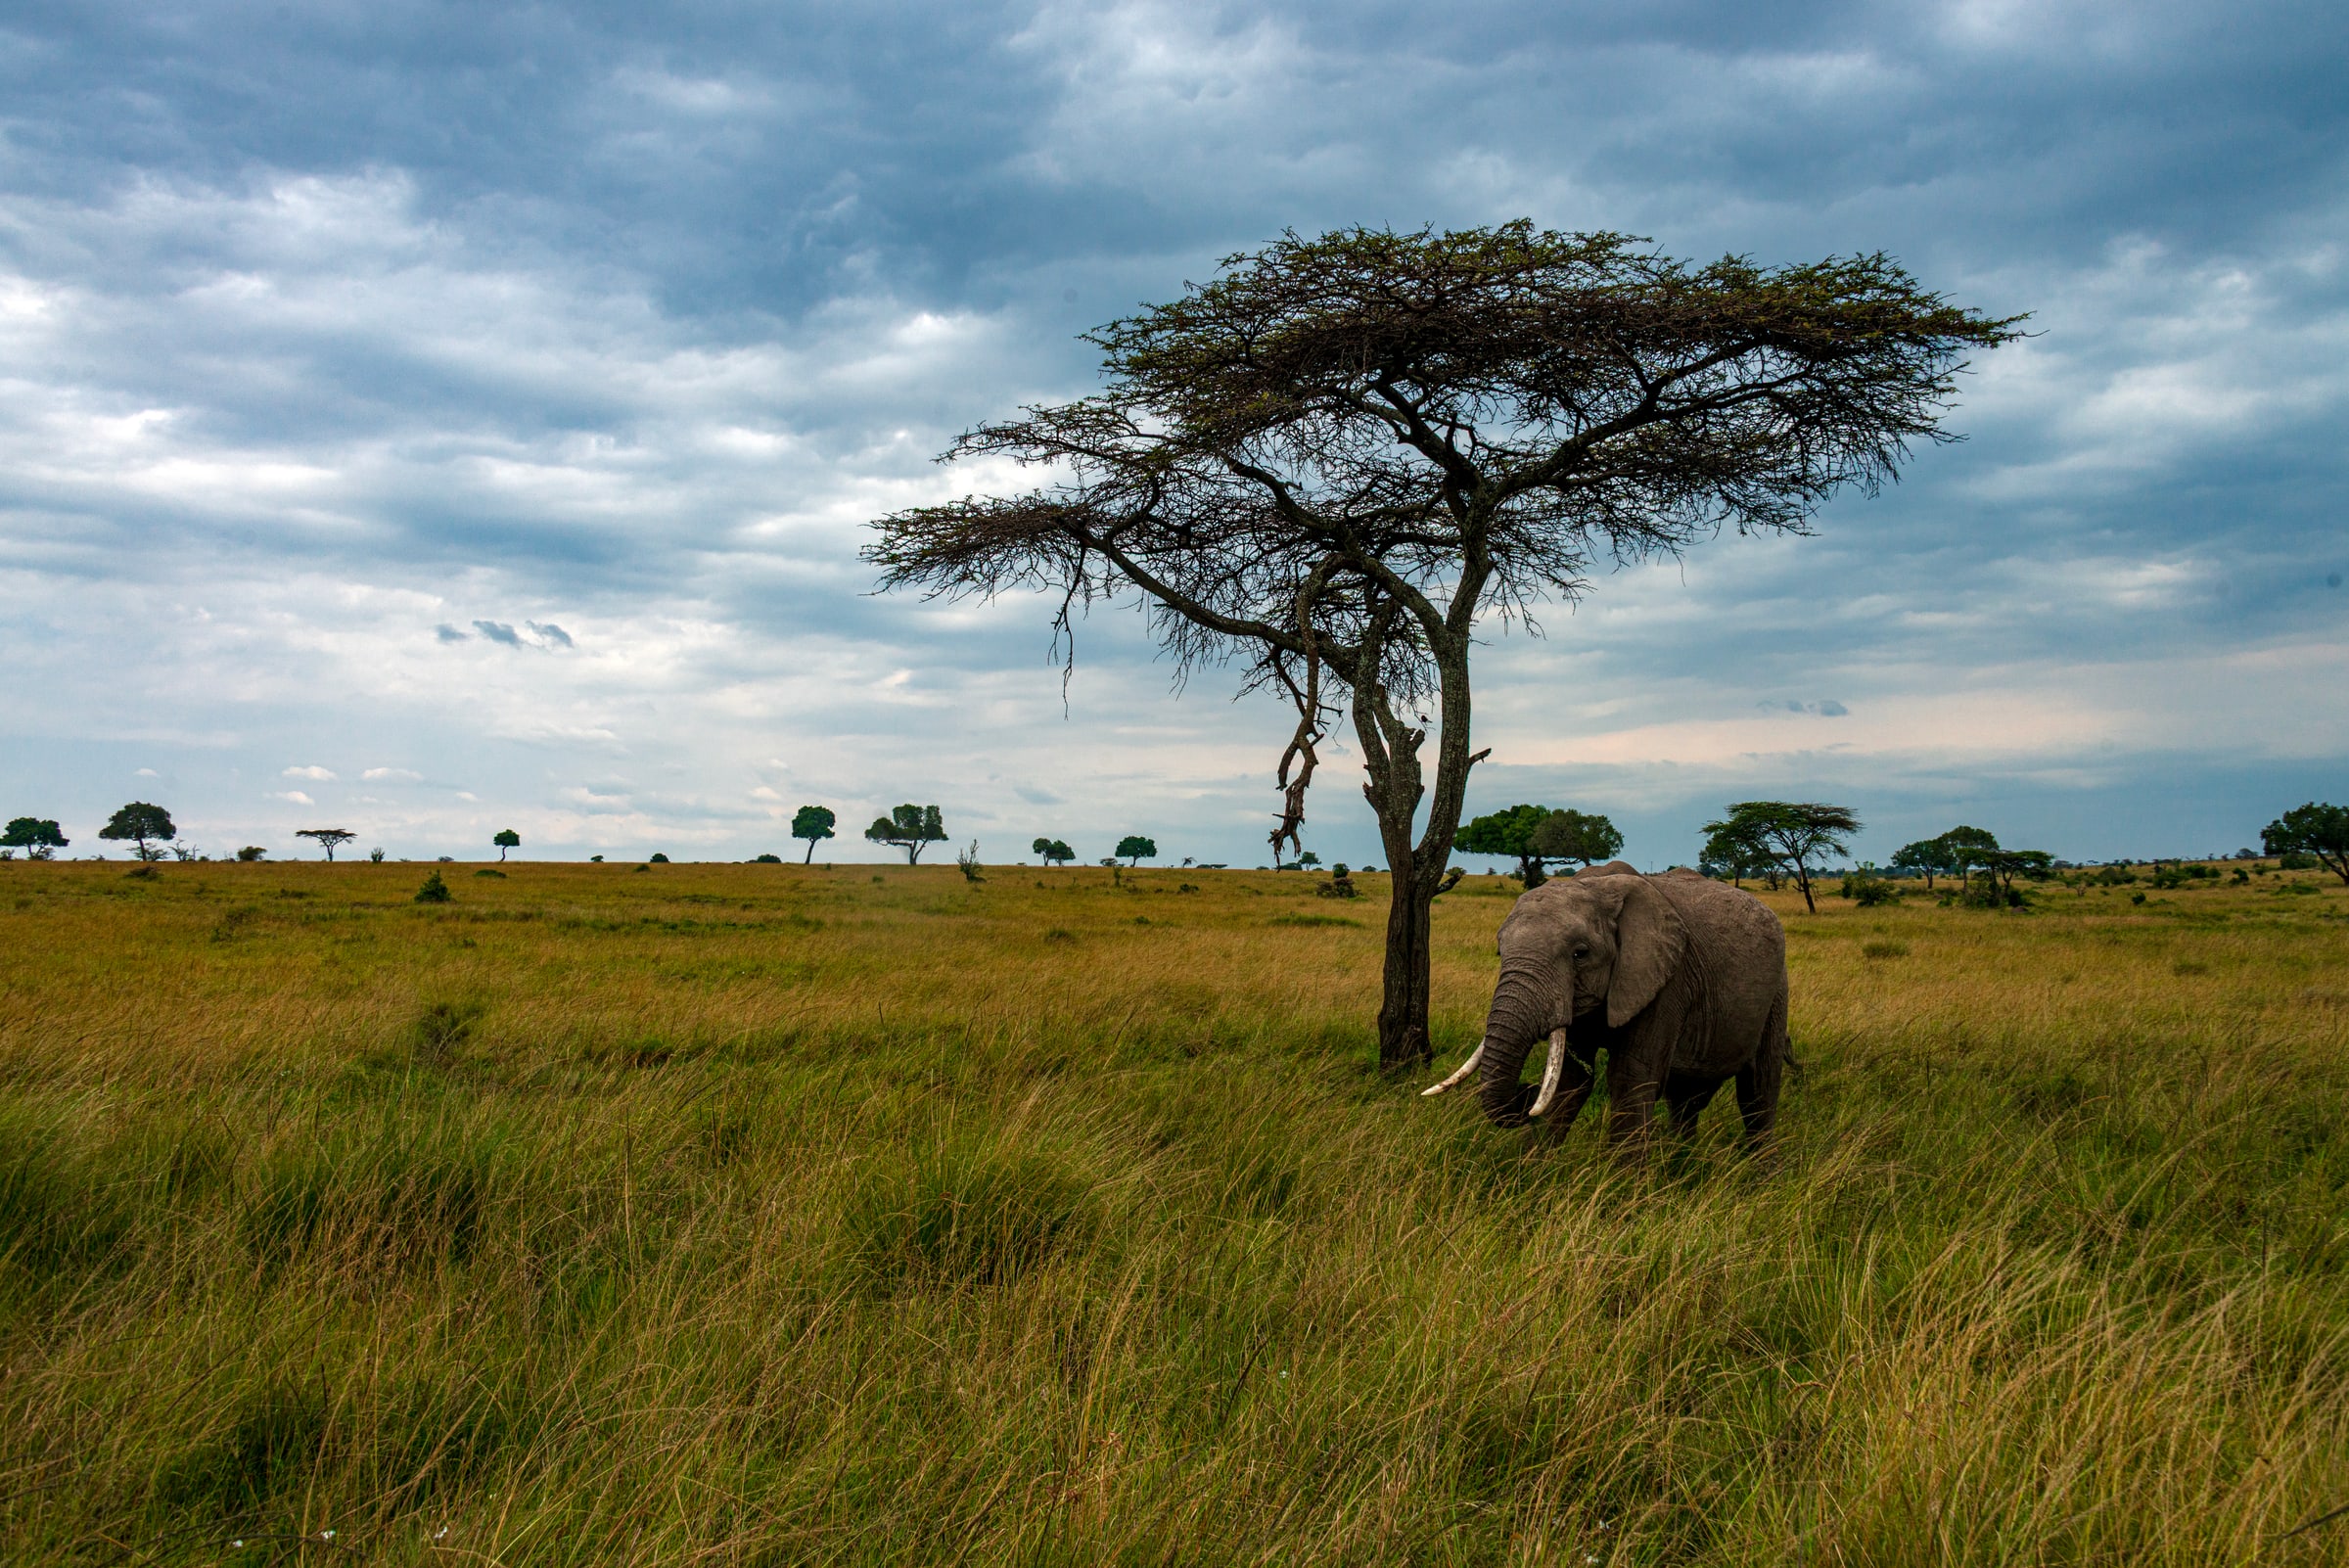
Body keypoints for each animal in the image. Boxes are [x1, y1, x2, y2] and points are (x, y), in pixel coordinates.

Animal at [1423, 862, 1790, 1149]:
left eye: (1580, 954)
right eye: (1500, 952)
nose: (1526, 1091)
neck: (1596, 886)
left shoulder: (1664, 981)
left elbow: (1630, 1080)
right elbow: (1570, 1081)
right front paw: (1534, 1173)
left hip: (1777, 993)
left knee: (1758, 1092)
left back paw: (1761, 1178)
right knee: (1686, 1100)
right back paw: (1679, 1166)